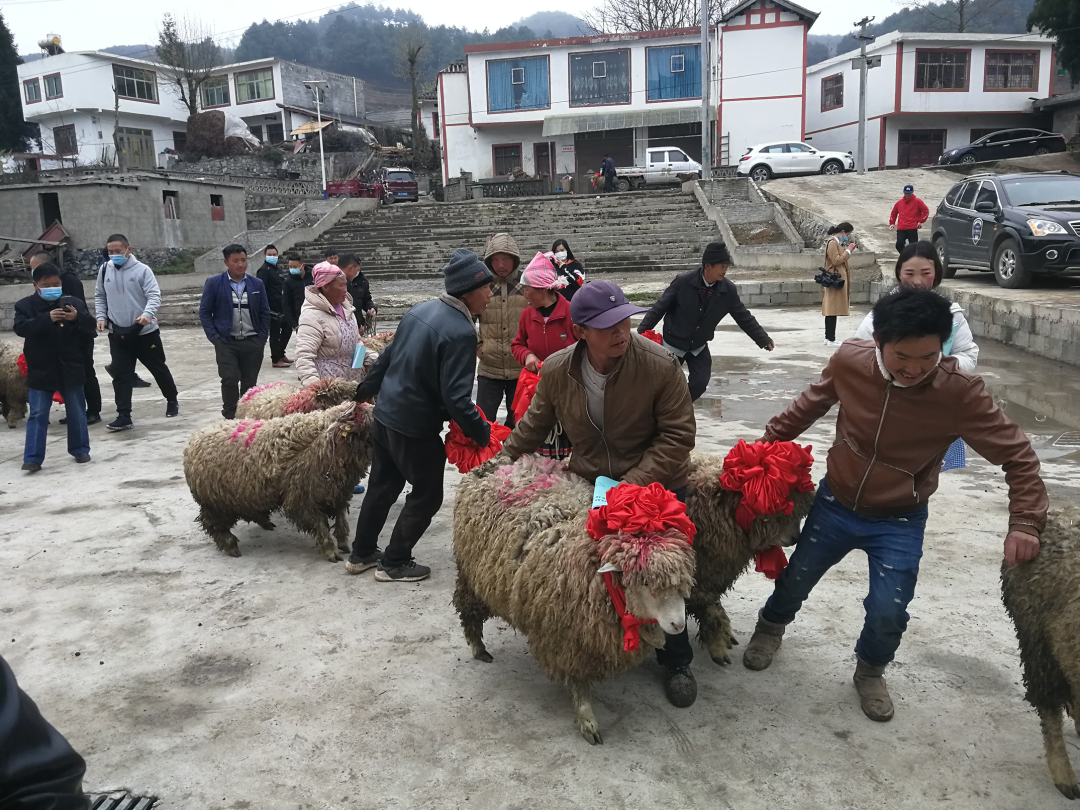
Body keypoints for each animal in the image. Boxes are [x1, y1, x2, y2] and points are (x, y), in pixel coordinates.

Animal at [183, 403, 373, 561]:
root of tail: (195, 438)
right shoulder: (302, 498)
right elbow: (320, 525)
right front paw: (330, 551)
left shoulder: (337, 491)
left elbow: (341, 518)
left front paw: (343, 543)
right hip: (215, 502)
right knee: (213, 525)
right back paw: (230, 546)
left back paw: (265, 522)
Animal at [453, 453, 691, 747]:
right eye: (644, 581)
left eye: (683, 583)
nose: (678, 625)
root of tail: (495, 461)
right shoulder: (566, 641)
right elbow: (579, 684)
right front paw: (588, 721)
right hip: (469, 574)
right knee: (467, 610)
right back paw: (478, 648)